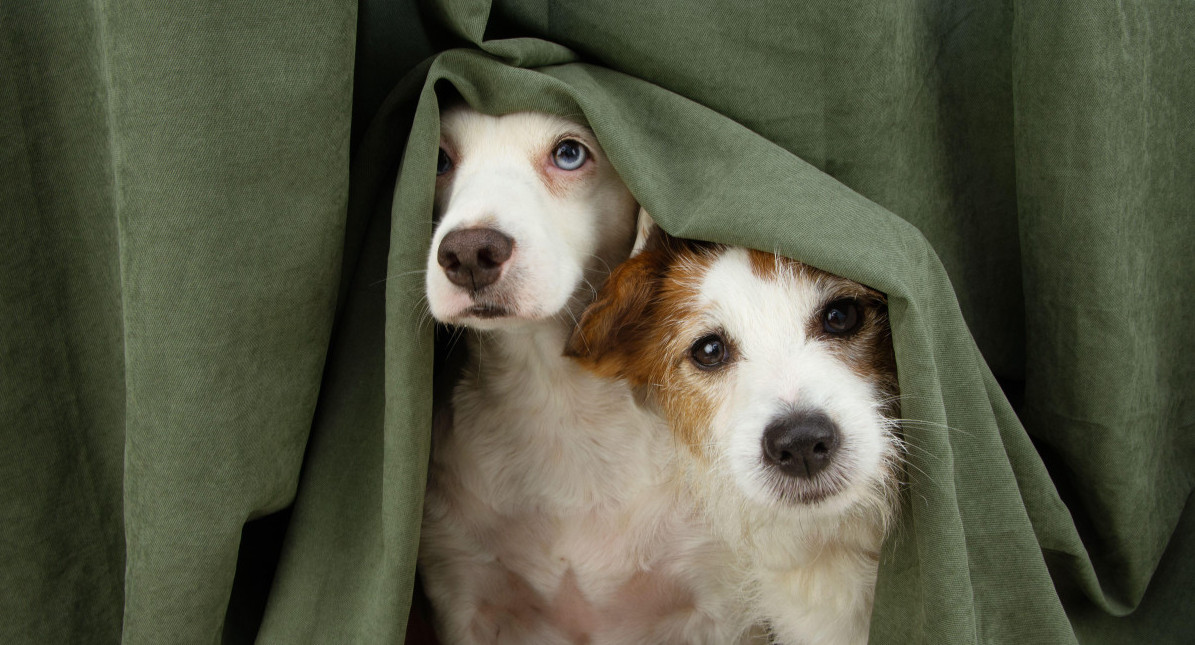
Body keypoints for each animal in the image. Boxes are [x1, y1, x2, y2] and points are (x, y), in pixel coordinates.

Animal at [420, 105, 755, 645]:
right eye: (438, 157)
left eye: (569, 153)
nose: (469, 252)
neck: (557, 402)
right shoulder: (462, 590)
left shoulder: (721, 602)